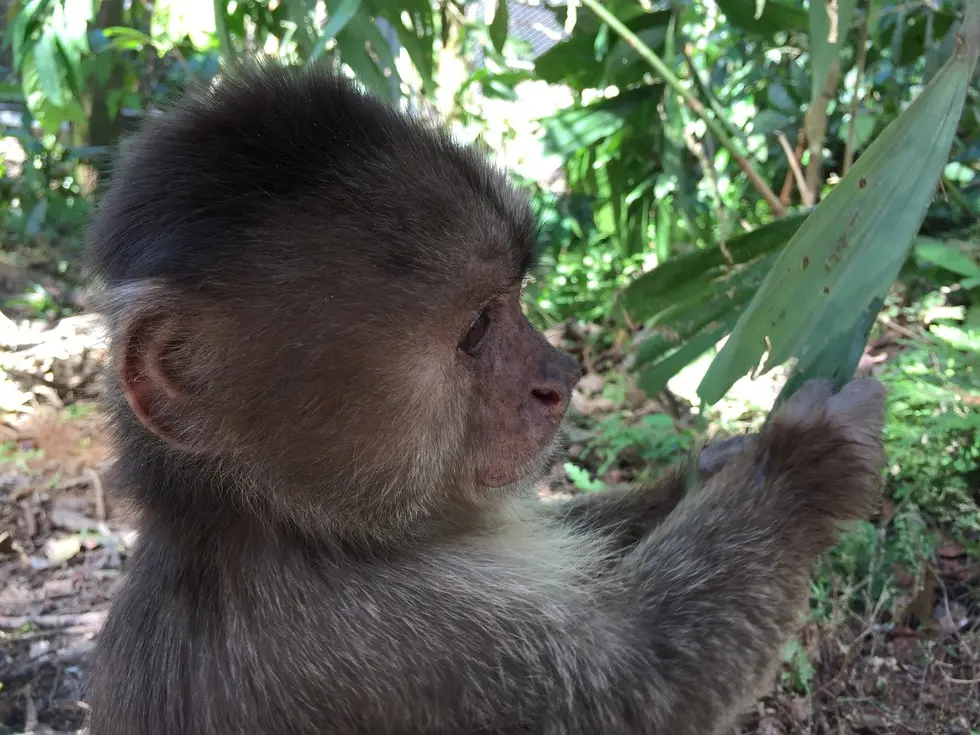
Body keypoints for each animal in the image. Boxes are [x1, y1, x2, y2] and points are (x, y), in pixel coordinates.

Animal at [80, 63, 884, 735]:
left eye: (517, 298)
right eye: (474, 329)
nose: (561, 373)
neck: (274, 522)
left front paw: (716, 466)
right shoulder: (362, 647)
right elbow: (645, 690)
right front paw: (801, 464)